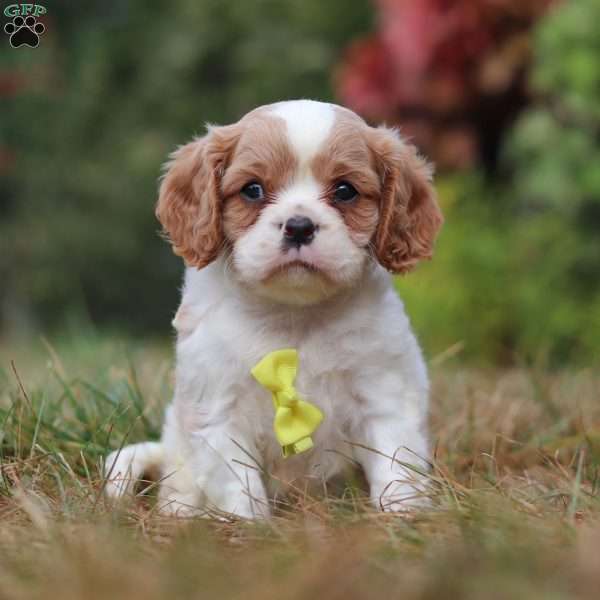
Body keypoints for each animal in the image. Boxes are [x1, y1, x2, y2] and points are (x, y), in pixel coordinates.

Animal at [104, 101, 440, 516]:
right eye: (253, 190)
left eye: (345, 191)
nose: (299, 226)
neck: (291, 314)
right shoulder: (219, 412)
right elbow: (239, 487)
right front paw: (250, 527)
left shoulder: (384, 393)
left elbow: (396, 464)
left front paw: (401, 517)